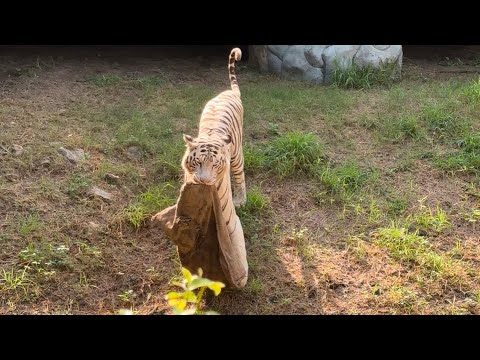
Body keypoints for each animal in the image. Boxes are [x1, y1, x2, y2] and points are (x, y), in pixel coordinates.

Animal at [181, 47, 248, 222]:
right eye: (197, 162)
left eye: (215, 165)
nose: (204, 181)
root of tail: (230, 92)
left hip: (237, 155)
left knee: (240, 175)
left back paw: (240, 200)